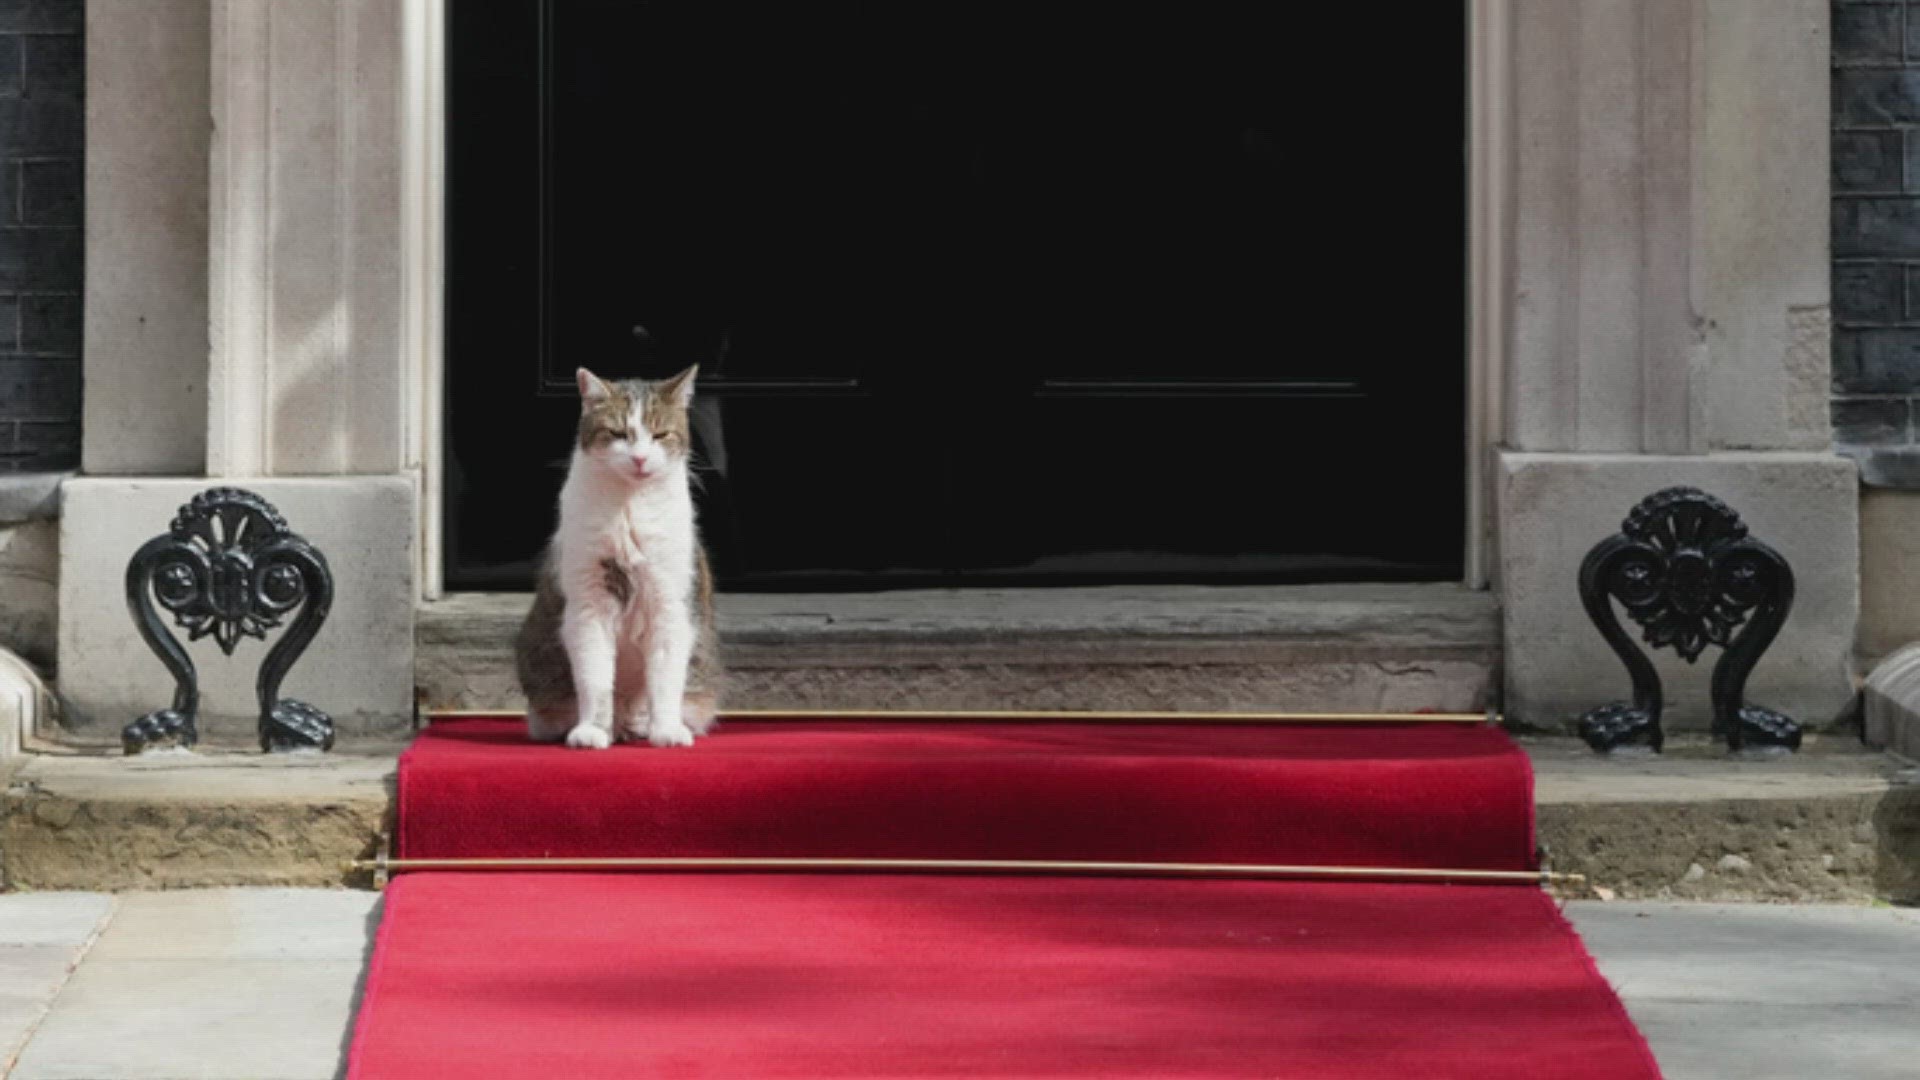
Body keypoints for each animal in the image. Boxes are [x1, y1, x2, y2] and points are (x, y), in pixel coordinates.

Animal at [510, 365, 721, 745]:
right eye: (618, 433)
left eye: (660, 434)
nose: (639, 458)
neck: (628, 505)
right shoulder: (589, 602)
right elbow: (594, 678)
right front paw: (592, 731)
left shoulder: (669, 604)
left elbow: (666, 679)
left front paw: (666, 731)